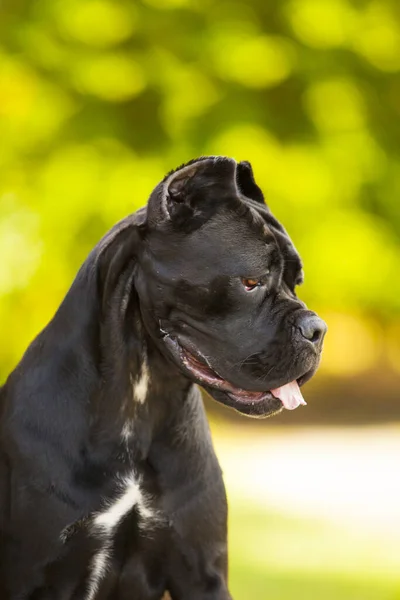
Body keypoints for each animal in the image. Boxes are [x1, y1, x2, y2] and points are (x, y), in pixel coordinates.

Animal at [0, 157, 324, 596]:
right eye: (251, 281)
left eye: (296, 281)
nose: (318, 329)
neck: (140, 399)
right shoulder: (31, 573)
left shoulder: (202, 570)